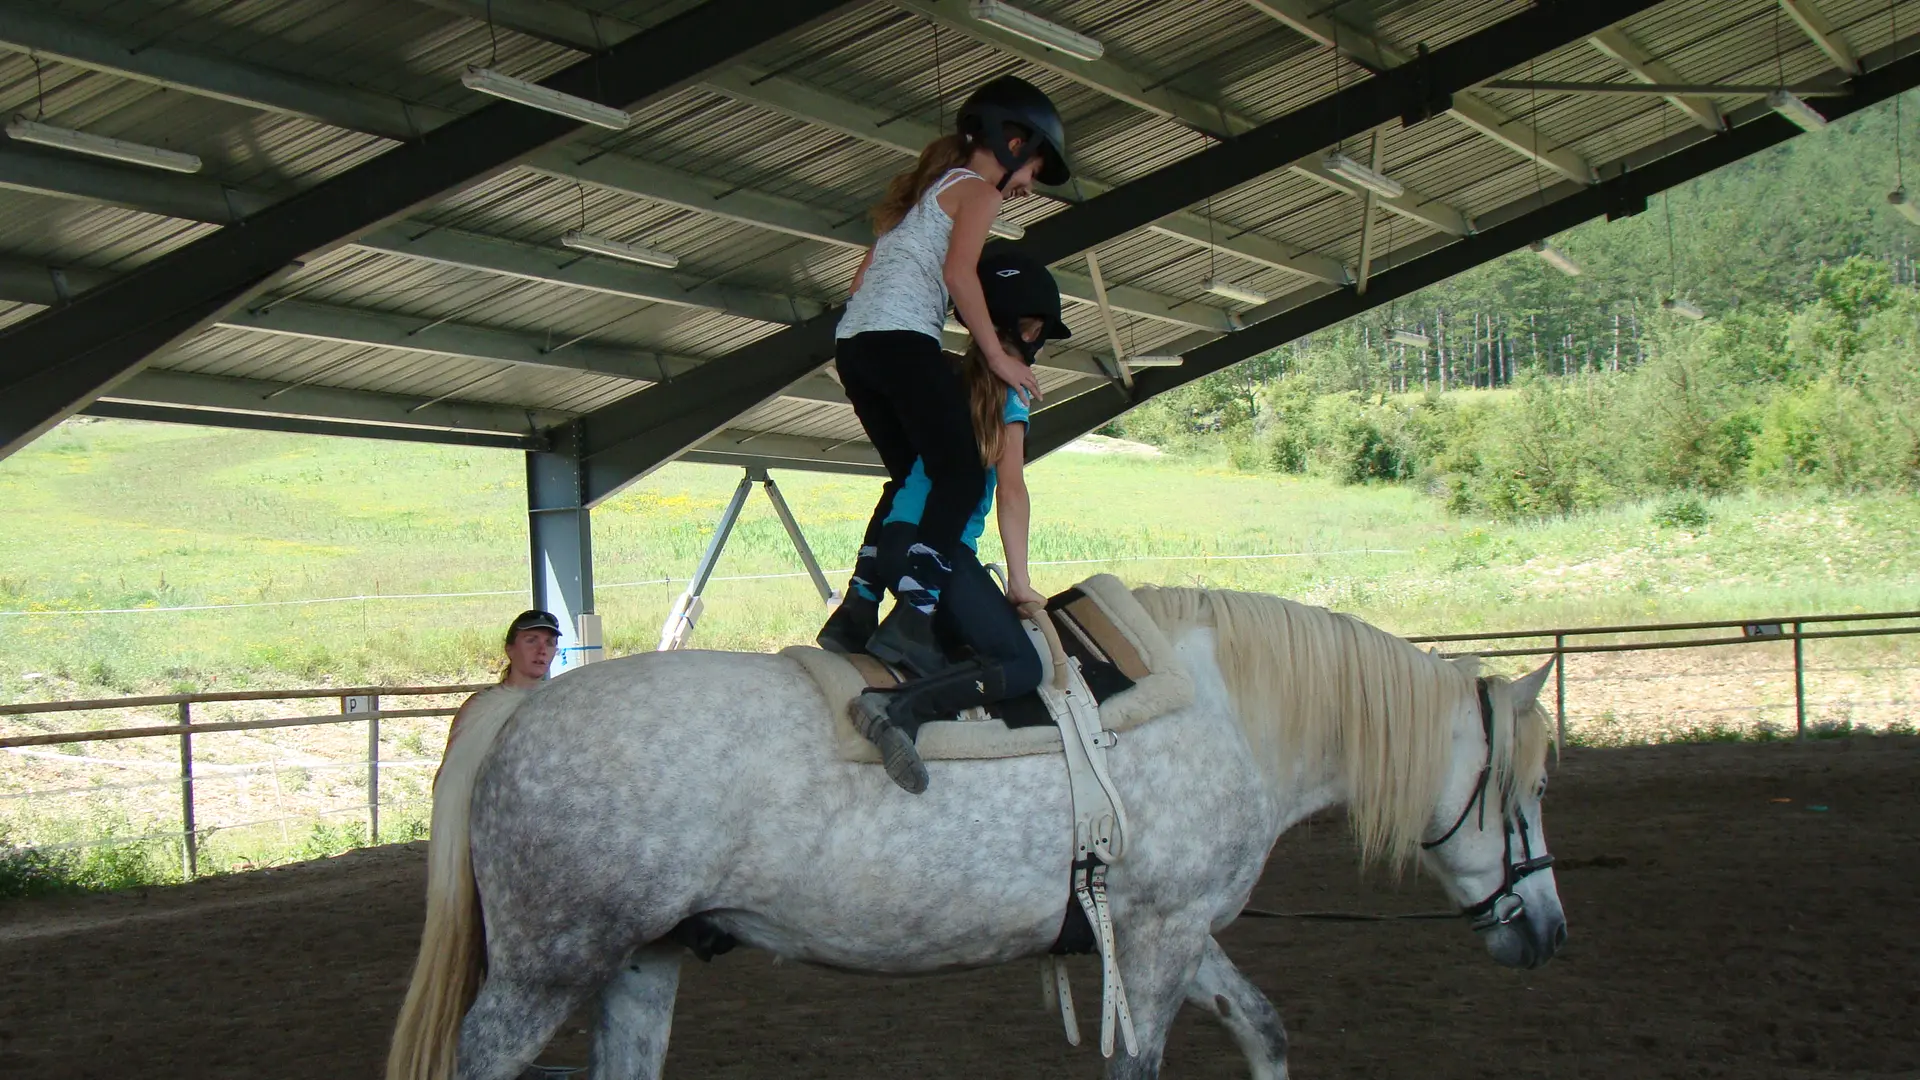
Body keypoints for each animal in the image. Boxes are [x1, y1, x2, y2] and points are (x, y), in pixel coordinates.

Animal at [385, 588, 1559, 1076]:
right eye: (1524, 791)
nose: (1547, 930)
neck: (1229, 709)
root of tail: (519, 712)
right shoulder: (1162, 940)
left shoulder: (1166, 933)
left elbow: (1264, 1029)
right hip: (547, 969)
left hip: (641, 963)